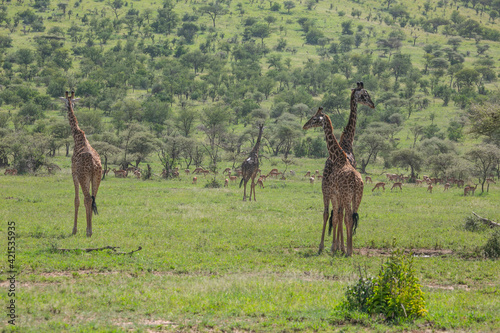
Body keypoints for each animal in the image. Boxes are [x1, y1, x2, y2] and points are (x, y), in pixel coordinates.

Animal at [60, 91, 102, 236]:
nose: (68, 107)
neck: (77, 137)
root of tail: (94, 165)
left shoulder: (74, 174)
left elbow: (77, 200)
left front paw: (74, 229)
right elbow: (84, 200)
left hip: (84, 177)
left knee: (88, 198)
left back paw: (89, 231)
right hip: (97, 177)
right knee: (93, 198)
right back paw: (90, 230)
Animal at [304, 107, 364, 255]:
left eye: (315, 119)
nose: (304, 126)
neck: (338, 158)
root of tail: (356, 181)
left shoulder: (332, 192)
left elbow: (333, 215)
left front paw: (328, 247)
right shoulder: (337, 194)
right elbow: (337, 215)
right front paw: (338, 247)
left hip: (346, 195)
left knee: (348, 217)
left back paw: (348, 251)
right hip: (357, 197)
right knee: (352, 216)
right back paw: (349, 249)